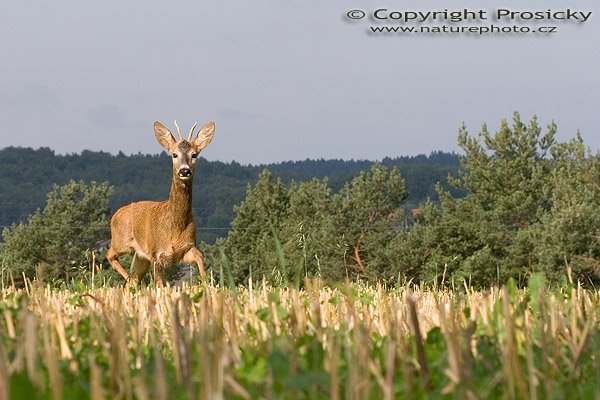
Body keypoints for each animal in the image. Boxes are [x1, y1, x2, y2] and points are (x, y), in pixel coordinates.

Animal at [107, 119, 216, 284]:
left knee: (133, 279)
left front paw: (206, 284)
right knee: (110, 255)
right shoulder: (156, 254)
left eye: (194, 154)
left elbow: (200, 257)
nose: (184, 171)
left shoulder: (186, 248)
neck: (175, 228)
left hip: (141, 258)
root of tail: (116, 214)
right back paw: (127, 278)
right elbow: (160, 285)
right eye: (174, 154)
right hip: (121, 242)